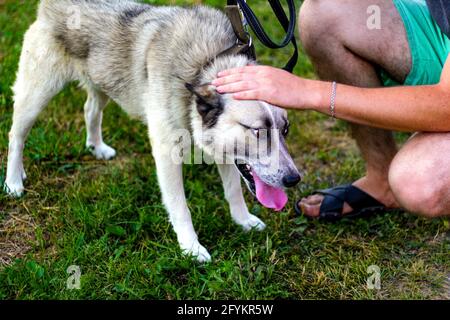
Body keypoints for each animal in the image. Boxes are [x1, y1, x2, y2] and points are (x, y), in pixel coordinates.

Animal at [5, 0, 300, 262]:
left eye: (285, 130)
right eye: (257, 130)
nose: (294, 179)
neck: (206, 63)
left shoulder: (222, 151)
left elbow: (233, 191)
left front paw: (243, 221)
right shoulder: (168, 155)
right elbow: (181, 208)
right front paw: (191, 248)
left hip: (103, 82)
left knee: (90, 109)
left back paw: (96, 147)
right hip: (38, 93)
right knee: (16, 136)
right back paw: (13, 181)